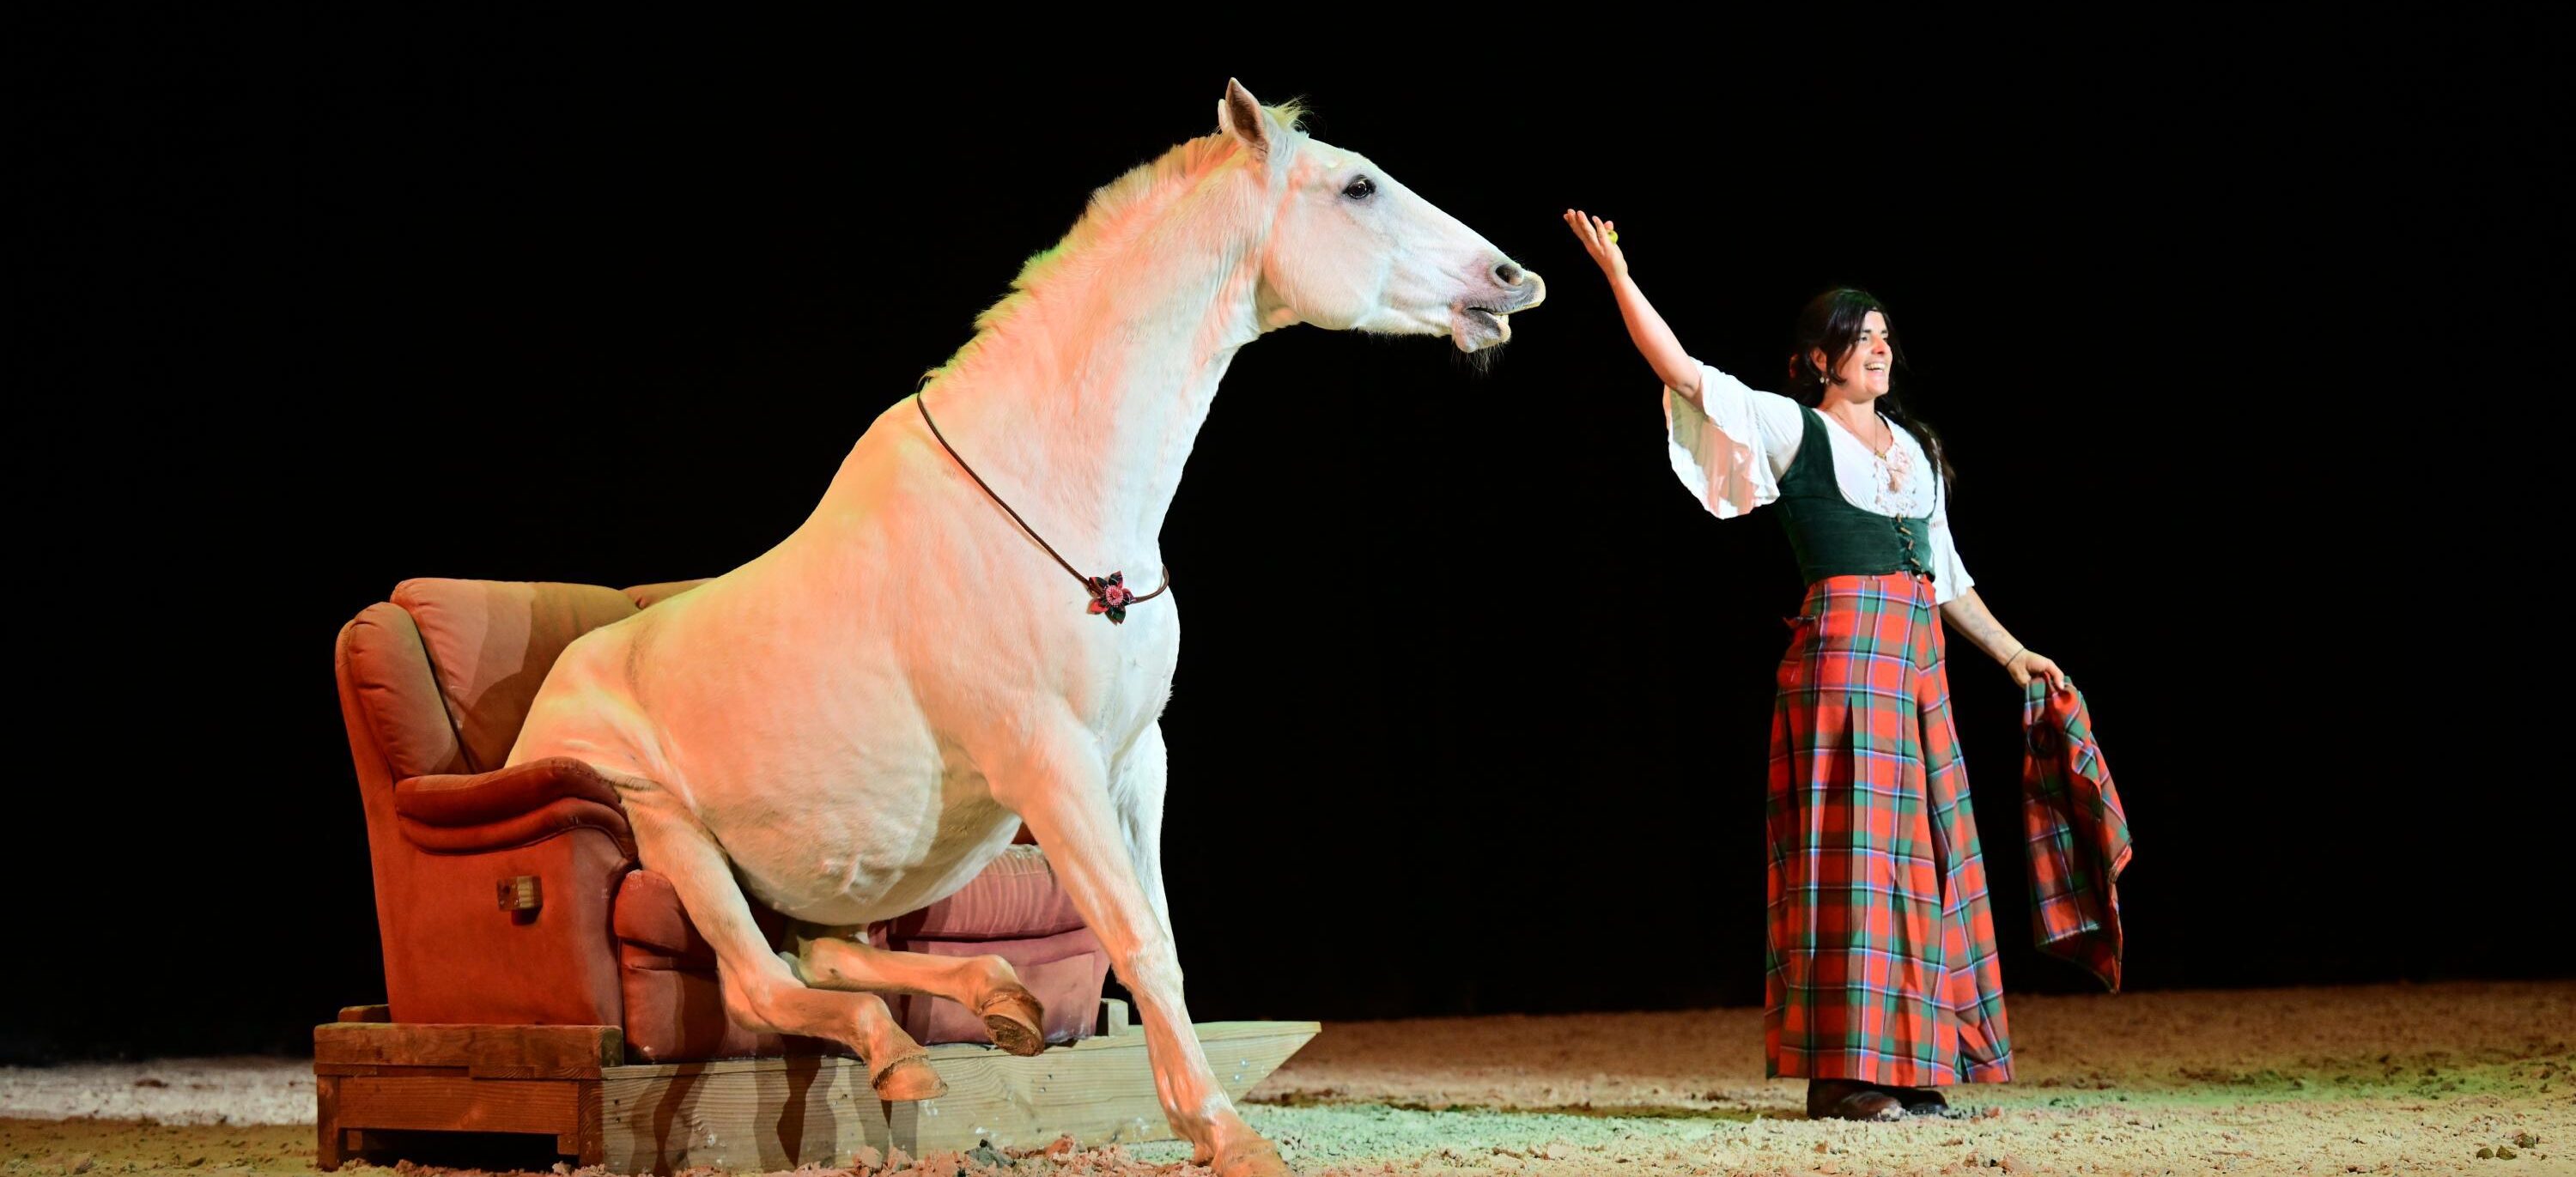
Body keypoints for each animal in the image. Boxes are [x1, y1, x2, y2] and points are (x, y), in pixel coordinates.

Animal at [508, 79, 1544, 1177]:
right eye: (1357, 186)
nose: (1512, 280)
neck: (1060, 504)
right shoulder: (1052, 768)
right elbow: (1135, 939)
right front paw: (1223, 1130)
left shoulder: (1135, 765)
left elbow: (1161, 944)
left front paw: (1195, 1111)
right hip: (668, 832)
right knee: (763, 982)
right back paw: (900, 1050)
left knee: (821, 952)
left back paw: (985, 1003)